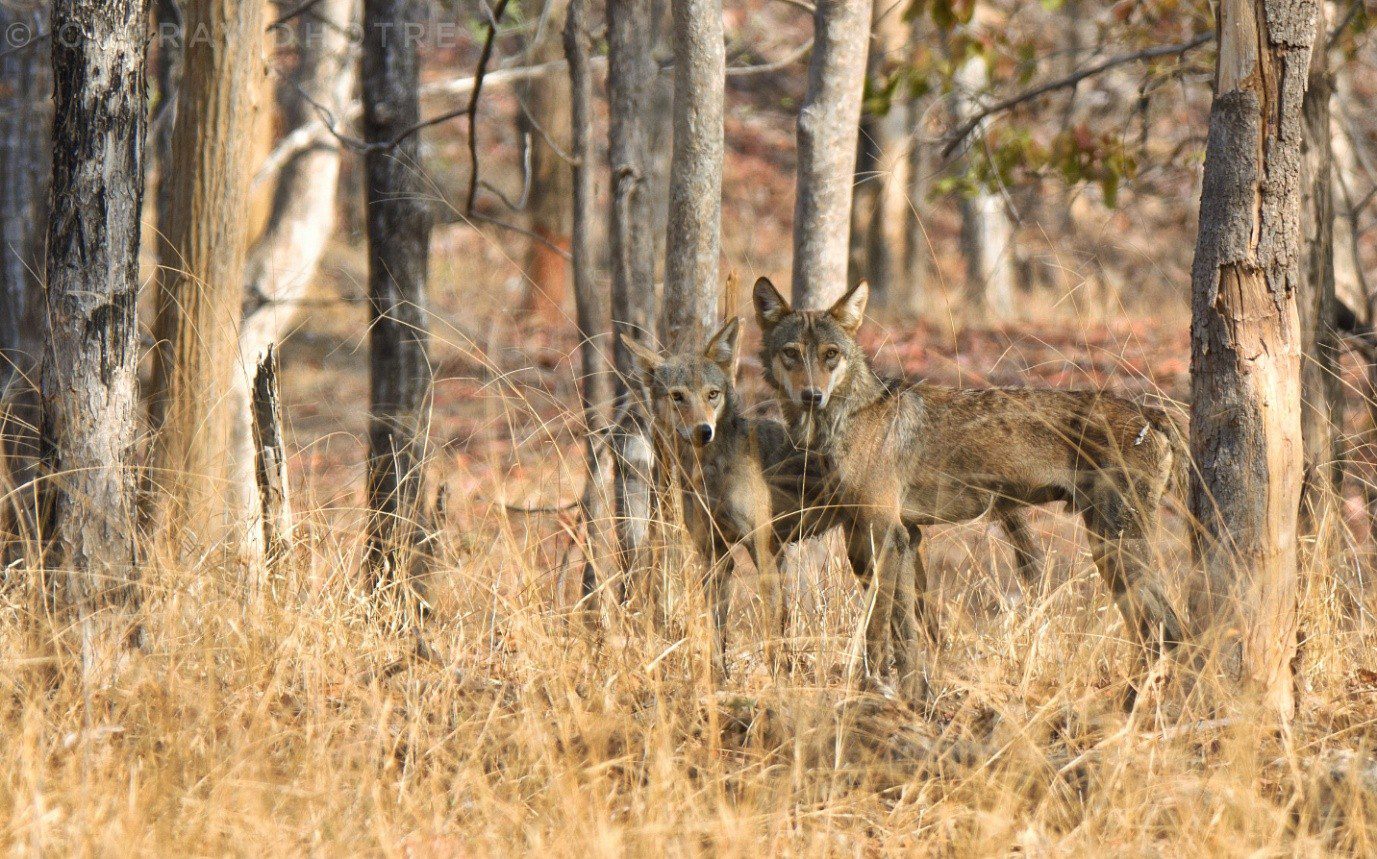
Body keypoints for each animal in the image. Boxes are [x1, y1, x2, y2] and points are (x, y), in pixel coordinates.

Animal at [749, 278, 1189, 702]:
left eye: (830, 355)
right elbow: (909, 634)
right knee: (1157, 633)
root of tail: (1151, 411)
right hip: (1111, 552)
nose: (812, 396)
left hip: (1115, 548)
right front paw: (918, 696)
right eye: (791, 353)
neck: (847, 417)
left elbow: (878, 630)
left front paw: (873, 689)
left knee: (1166, 630)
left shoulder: (883, 534)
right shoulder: (901, 537)